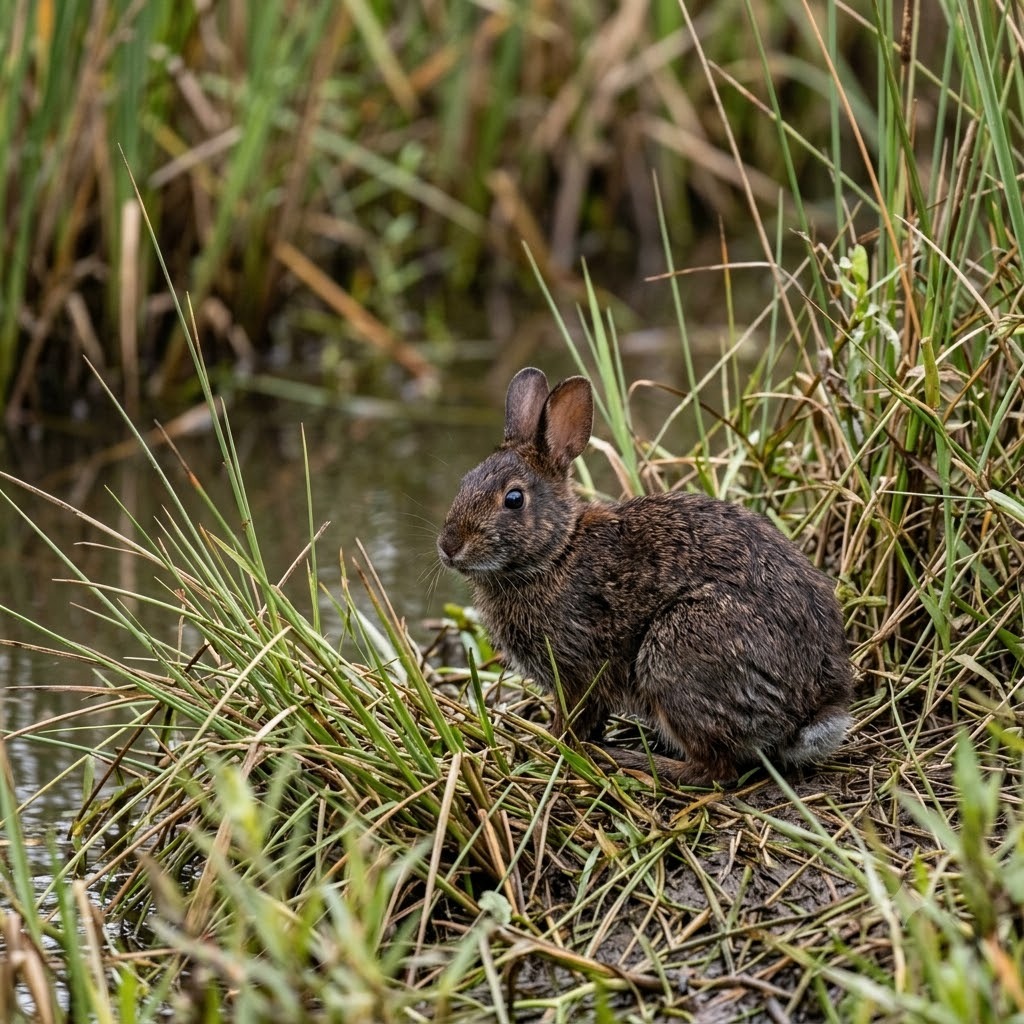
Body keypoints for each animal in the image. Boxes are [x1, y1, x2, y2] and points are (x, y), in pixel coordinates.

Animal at [437, 367, 854, 787]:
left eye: (514, 499)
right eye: (464, 482)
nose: (448, 546)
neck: (556, 553)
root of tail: (812, 710)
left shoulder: (577, 670)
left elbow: (574, 718)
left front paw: (550, 744)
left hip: (676, 655)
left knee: (716, 769)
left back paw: (631, 760)